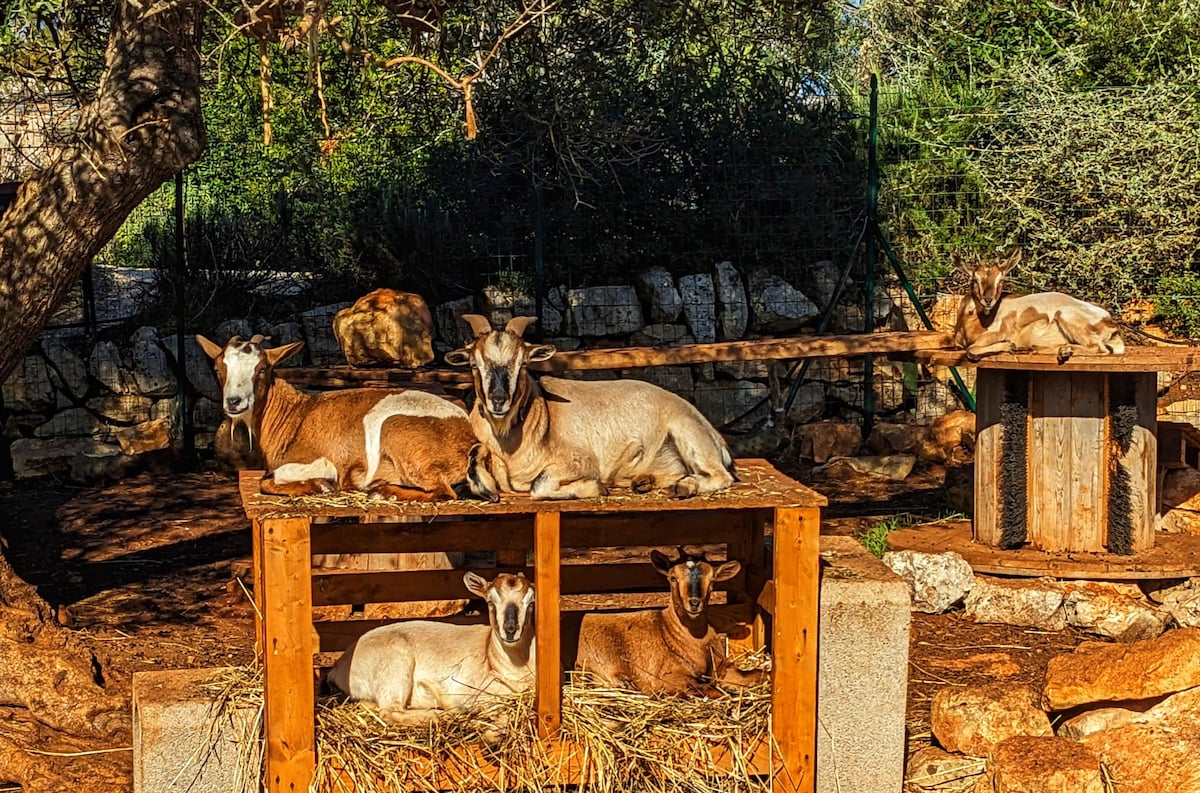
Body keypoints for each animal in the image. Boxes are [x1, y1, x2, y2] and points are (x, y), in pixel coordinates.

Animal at [195, 334, 497, 501]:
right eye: (218, 368)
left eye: (261, 369)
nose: (234, 401)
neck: (296, 415)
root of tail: (472, 440)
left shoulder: (322, 461)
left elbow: (267, 480)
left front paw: (321, 486)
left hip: (402, 435)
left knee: (444, 492)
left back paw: (381, 492)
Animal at [327, 572, 536, 725]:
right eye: (491, 602)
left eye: (531, 603)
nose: (510, 629)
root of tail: (339, 665)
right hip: (394, 666)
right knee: (390, 711)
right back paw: (439, 714)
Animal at [444, 315, 736, 500]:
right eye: (474, 364)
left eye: (523, 363)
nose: (498, 400)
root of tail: (715, 436)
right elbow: (475, 457)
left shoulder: (580, 461)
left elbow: (539, 486)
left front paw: (594, 488)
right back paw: (645, 482)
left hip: (688, 434)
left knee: (720, 476)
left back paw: (684, 487)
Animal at [573, 548, 764, 695]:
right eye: (673, 578)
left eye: (712, 581)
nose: (694, 603)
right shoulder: (667, 676)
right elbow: (714, 692)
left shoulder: (720, 669)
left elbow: (756, 673)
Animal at [952, 248, 1125, 364]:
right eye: (975, 279)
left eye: (1001, 280)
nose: (988, 300)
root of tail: (1111, 325)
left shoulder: (998, 332)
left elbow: (971, 350)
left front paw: (1010, 346)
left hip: (1067, 316)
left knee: (1099, 348)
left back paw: (1063, 350)